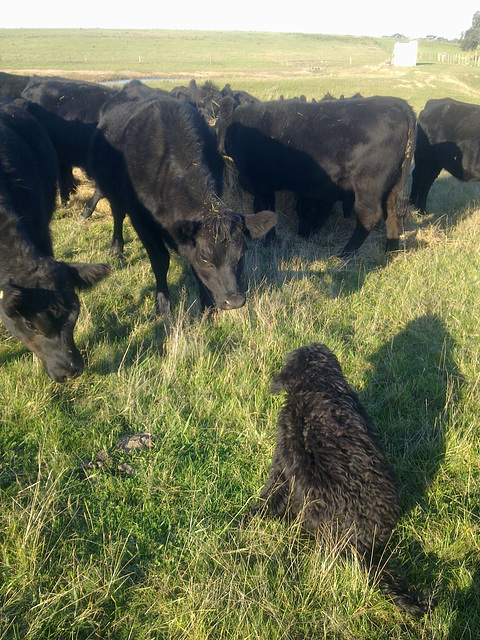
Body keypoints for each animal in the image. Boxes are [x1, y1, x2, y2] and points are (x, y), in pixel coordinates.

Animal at [88, 89, 276, 318]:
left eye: (242, 254)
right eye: (205, 257)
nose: (234, 301)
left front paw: (207, 307)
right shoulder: (141, 220)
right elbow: (160, 261)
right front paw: (164, 306)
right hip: (111, 190)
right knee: (117, 215)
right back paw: (116, 249)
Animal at [218, 96, 416, 254]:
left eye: (219, 126)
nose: (219, 147)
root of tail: (394, 102)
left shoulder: (261, 185)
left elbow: (267, 210)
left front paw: (269, 242)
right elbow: (257, 208)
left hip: (368, 183)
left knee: (369, 216)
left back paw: (345, 254)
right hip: (394, 182)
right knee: (392, 213)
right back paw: (390, 251)